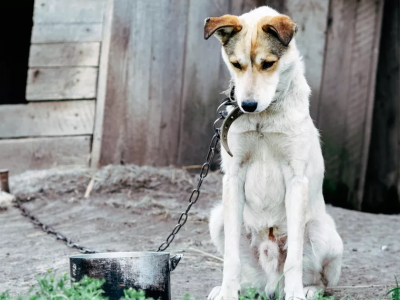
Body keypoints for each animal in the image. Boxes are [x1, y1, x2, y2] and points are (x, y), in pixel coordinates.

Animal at [205, 5, 342, 300]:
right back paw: (234, 289)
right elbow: (231, 258)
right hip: (219, 218)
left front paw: (296, 294)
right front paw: (228, 292)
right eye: (236, 64)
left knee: (319, 280)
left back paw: (306, 290)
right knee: (250, 279)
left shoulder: (296, 179)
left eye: (268, 63)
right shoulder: (233, 178)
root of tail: (271, 284)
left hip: (322, 231)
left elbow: (294, 259)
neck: (263, 118)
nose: (247, 105)